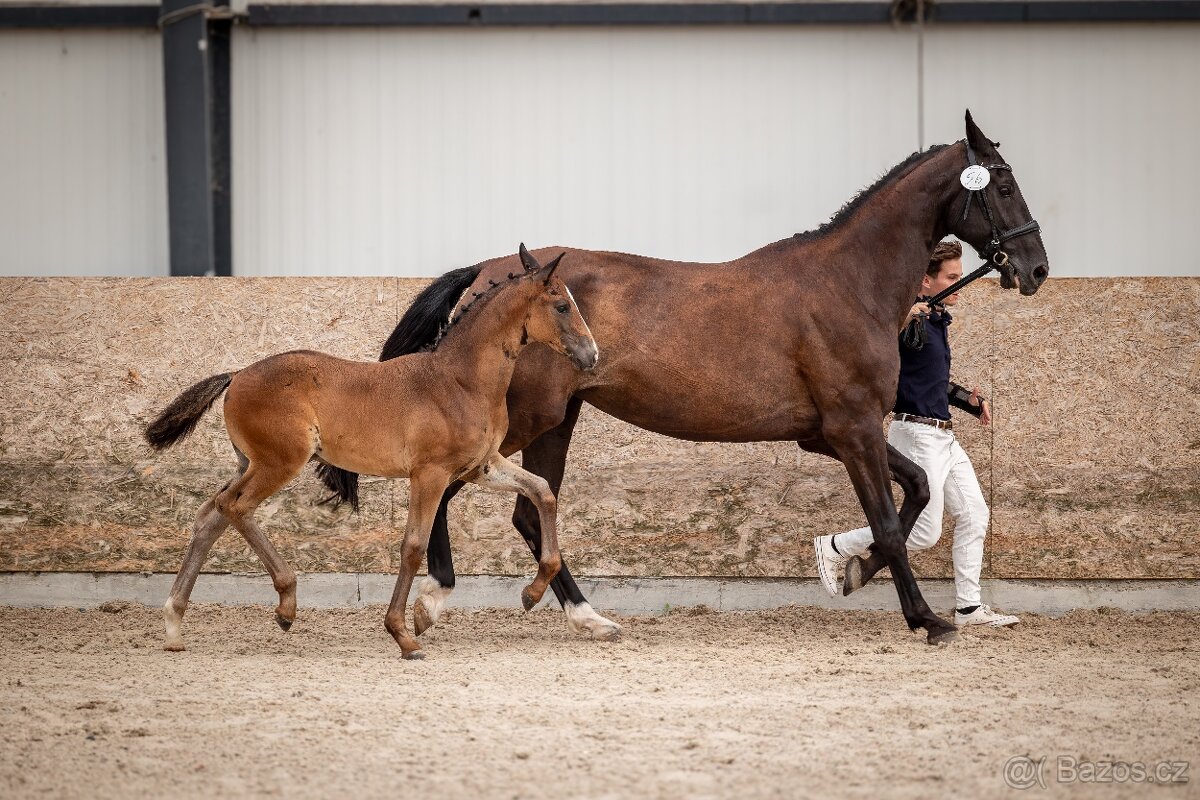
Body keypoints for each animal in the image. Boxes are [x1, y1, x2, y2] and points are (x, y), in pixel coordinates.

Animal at [147, 247, 597, 662]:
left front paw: (532, 592)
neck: (460, 381)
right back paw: (285, 605)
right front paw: (403, 635)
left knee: (211, 515)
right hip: (280, 462)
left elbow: (543, 491)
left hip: (250, 463)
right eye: (562, 305)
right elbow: (413, 545)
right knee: (234, 507)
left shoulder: (481, 467)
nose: (592, 355)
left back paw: (173, 625)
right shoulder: (430, 474)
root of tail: (236, 375)